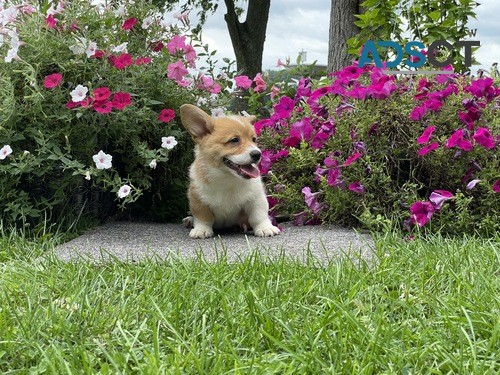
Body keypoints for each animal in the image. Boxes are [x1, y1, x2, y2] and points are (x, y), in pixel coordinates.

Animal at [180, 104, 282, 239]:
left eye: (254, 139)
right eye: (234, 140)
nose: (258, 154)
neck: (227, 178)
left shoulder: (256, 198)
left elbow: (258, 215)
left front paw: (265, 228)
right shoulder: (198, 198)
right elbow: (203, 217)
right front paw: (201, 230)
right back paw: (190, 220)